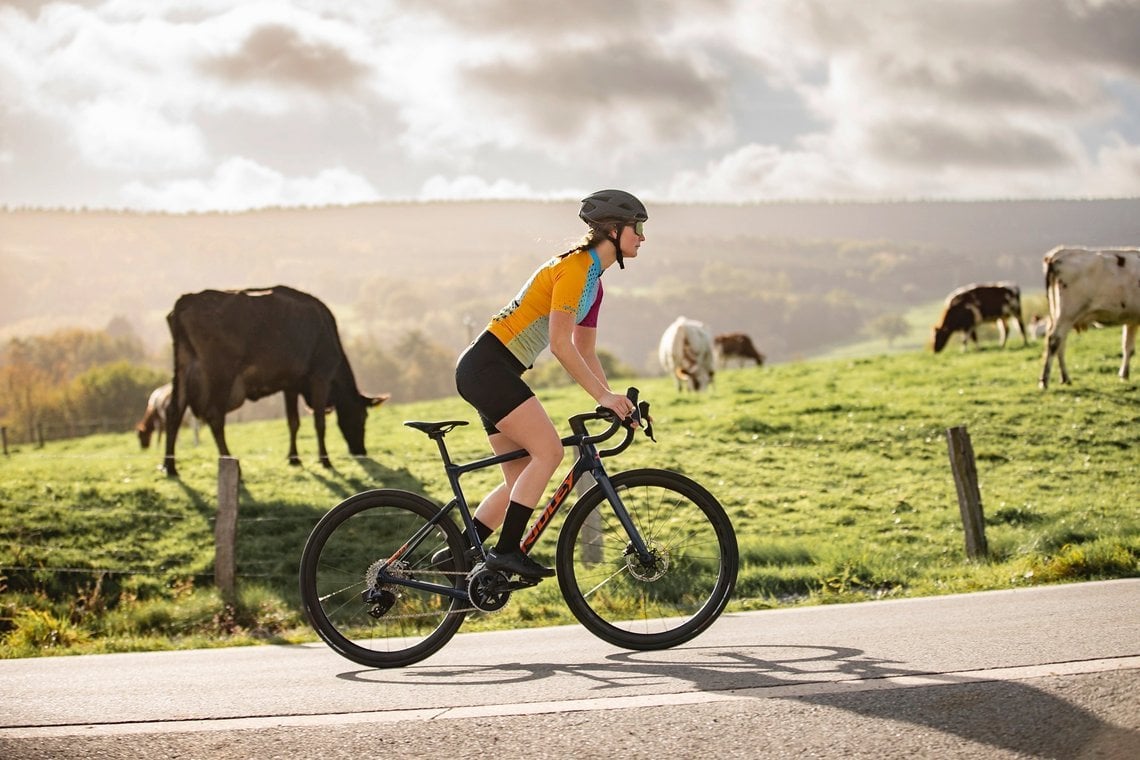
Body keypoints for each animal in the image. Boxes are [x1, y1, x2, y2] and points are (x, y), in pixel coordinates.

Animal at [160, 284, 392, 476]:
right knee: (215, 416)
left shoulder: (291, 383)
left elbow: (293, 422)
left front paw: (294, 458)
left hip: (183, 365)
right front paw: (325, 461)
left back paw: (169, 466)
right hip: (221, 371)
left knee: (174, 411)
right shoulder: (320, 376)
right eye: (363, 417)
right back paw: (231, 463)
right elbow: (319, 422)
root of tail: (186, 299)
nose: (361, 451)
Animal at [1044, 247, 1140, 389]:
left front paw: (1124, 375)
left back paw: (1065, 378)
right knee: (1054, 340)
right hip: (1067, 313)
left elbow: (1128, 347)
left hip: (1059, 314)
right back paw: (1044, 381)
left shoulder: (1131, 319)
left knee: (1060, 342)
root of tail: (1060, 253)